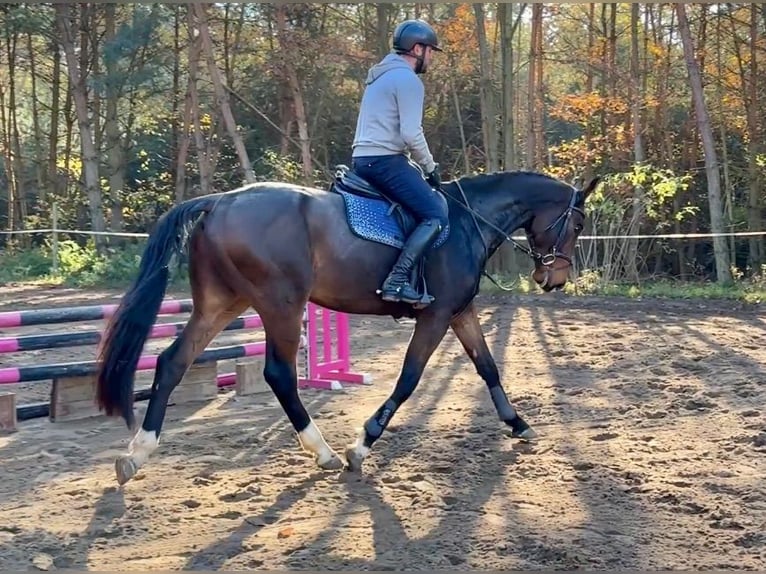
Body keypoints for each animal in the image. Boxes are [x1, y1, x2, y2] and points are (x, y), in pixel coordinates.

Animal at [96, 168, 600, 486]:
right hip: (281, 304)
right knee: (278, 374)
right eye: (577, 223)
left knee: (171, 362)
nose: (554, 280)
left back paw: (136, 454)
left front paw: (518, 424)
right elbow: (410, 378)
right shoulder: (436, 315)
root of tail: (219, 200)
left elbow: (488, 366)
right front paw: (363, 444)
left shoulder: (460, 313)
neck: (464, 223)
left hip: (222, 303)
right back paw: (323, 451)